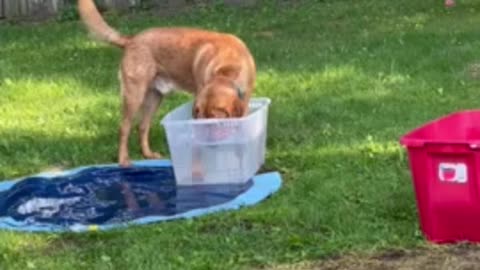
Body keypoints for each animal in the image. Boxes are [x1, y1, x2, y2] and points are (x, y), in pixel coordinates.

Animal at [78, 0, 255, 168]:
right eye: (199, 116)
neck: (227, 68)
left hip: (154, 98)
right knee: (124, 129)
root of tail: (131, 40)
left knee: (142, 126)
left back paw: (148, 155)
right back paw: (123, 160)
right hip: (134, 96)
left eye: (212, 121)